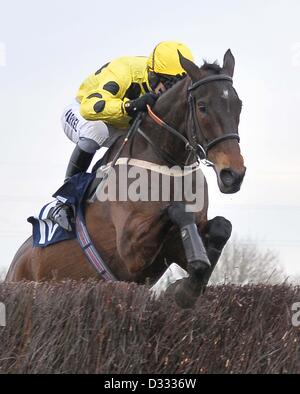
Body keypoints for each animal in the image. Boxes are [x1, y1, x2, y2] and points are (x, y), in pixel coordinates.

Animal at [5, 49, 246, 308]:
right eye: (202, 106)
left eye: (239, 105)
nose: (233, 174)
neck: (169, 163)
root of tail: (15, 263)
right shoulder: (130, 251)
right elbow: (178, 210)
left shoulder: (175, 247)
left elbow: (221, 228)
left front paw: (184, 290)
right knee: (93, 131)